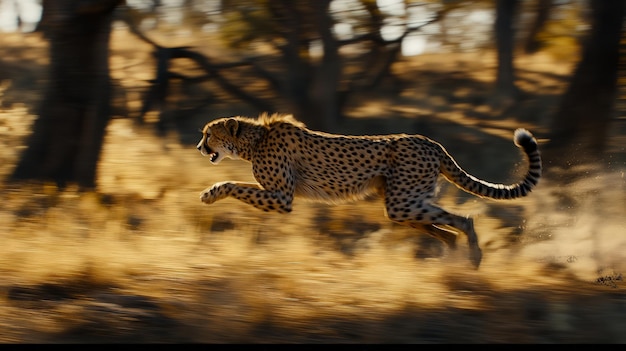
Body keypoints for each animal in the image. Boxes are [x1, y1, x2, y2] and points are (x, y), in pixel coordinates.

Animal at [197, 113, 540, 270]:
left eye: (208, 134)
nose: (199, 147)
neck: (254, 140)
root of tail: (431, 142)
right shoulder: (276, 193)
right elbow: (240, 184)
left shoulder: (282, 198)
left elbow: (233, 184)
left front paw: (210, 194)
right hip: (404, 204)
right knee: (446, 229)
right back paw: (453, 259)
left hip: (403, 203)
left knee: (463, 220)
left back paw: (474, 258)